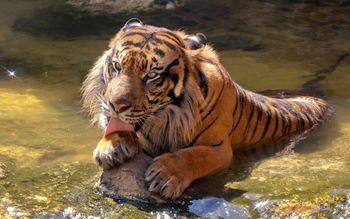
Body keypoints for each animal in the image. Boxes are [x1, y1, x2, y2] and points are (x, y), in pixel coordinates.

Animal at [80, 18, 332, 200]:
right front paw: (111, 147)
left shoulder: (219, 148)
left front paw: (165, 175)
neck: (162, 119)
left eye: (151, 76)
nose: (116, 105)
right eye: (117, 66)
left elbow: (194, 155)